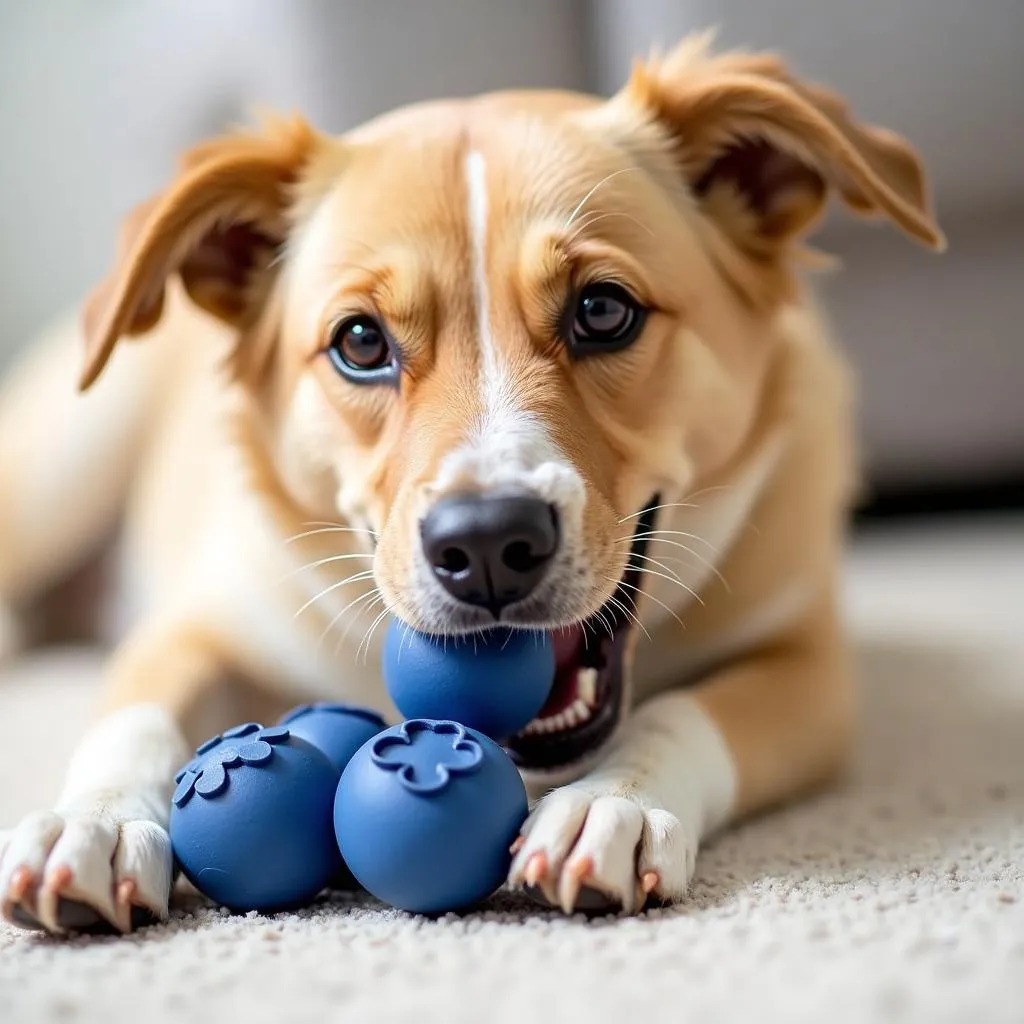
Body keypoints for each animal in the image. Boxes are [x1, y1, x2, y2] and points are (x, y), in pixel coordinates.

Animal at [0, 34, 942, 937]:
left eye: (603, 309)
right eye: (360, 342)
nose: (488, 543)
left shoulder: (809, 666)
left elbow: (686, 711)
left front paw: (614, 802)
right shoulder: (199, 624)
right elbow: (134, 717)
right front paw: (94, 822)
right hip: (62, 471)